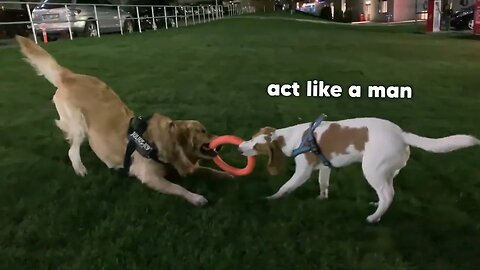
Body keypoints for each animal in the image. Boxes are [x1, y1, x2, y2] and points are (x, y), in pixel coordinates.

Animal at [238, 116, 478, 224]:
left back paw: (374, 217)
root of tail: (402, 134)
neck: (294, 137)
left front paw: (271, 198)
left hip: (372, 170)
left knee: (388, 195)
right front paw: (322, 199)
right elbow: (323, 184)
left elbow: (285, 187)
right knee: (387, 193)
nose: (240, 148)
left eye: (257, 147)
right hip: (387, 172)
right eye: (251, 138)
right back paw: (376, 207)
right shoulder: (324, 167)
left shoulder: (303, 171)